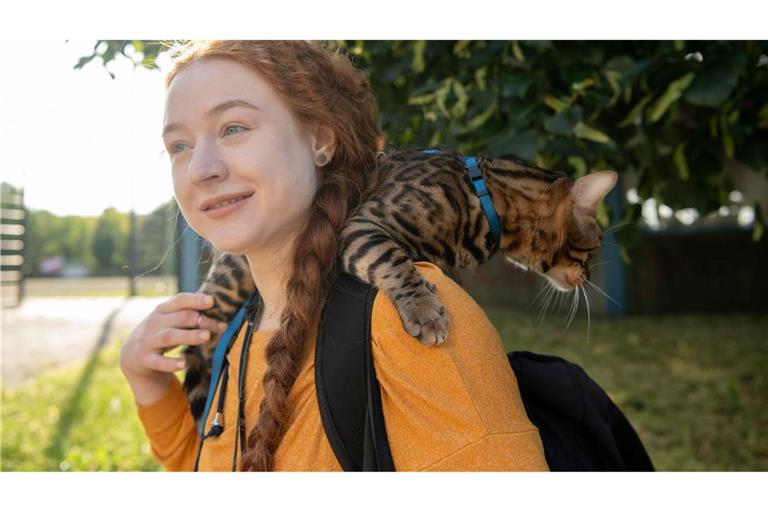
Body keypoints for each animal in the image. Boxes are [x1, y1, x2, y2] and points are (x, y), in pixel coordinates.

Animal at [183, 145, 620, 420]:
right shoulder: (364, 226)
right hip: (228, 284)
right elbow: (395, 263)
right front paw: (424, 311)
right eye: (594, 246)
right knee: (197, 336)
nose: (589, 276)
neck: (486, 201)